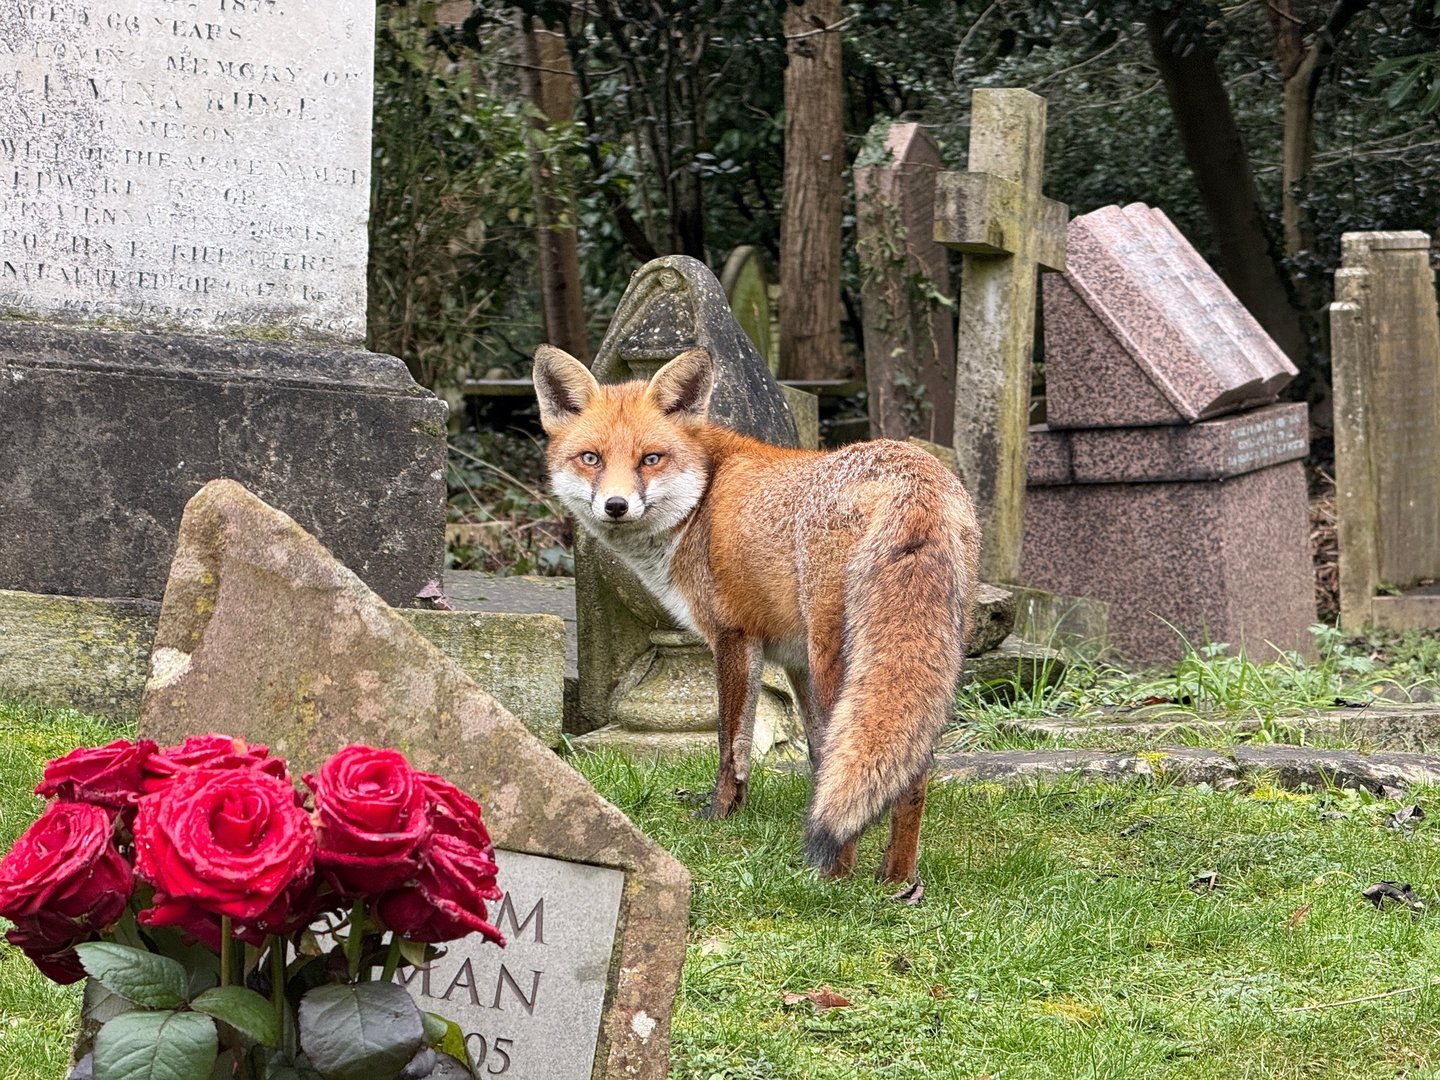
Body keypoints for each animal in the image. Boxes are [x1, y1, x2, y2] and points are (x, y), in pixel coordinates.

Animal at [533, 343, 980, 898]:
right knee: (911, 771)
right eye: (590, 458)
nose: (616, 505)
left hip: (837, 657)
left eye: (650, 459)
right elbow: (822, 757)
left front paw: (720, 815)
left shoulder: (734, 636)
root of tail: (915, 477)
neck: (701, 503)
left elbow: (732, 746)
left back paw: (832, 877)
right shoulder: (793, 661)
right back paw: (895, 881)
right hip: (912, 660)